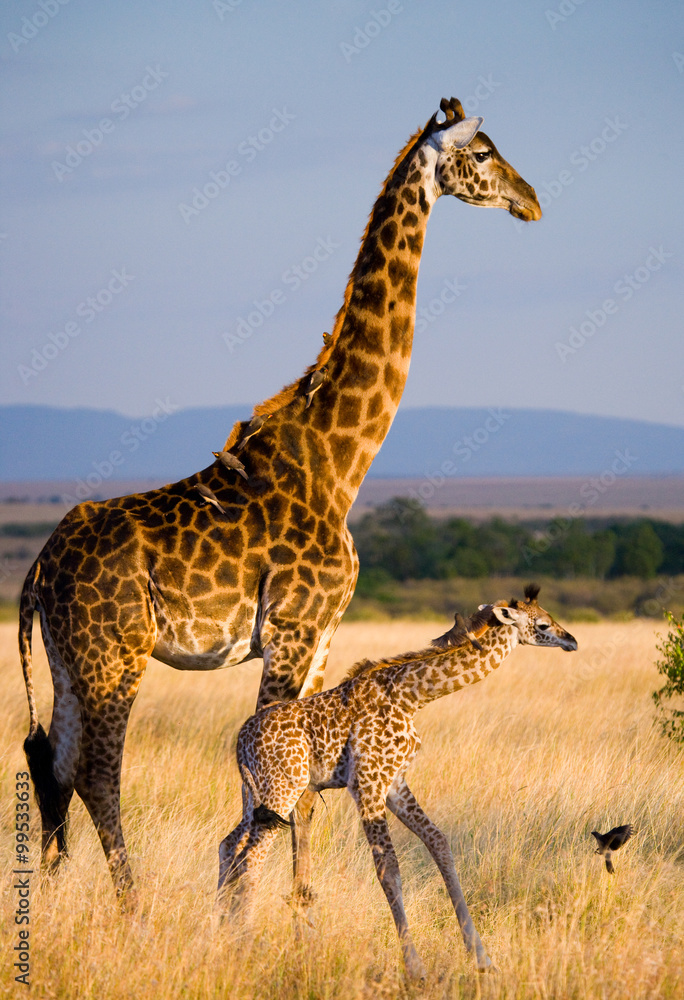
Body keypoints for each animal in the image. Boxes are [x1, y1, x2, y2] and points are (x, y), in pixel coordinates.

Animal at [19, 97, 542, 903]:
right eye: (482, 153)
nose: (532, 201)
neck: (340, 461)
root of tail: (39, 567)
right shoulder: (292, 628)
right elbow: (272, 771)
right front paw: (246, 905)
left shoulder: (323, 634)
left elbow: (306, 788)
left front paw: (300, 907)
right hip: (115, 651)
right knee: (99, 773)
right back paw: (131, 908)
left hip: (68, 657)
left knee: (53, 764)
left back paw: (47, 902)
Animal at [217, 586, 577, 979]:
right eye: (543, 624)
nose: (571, 640)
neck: (411, 697)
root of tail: (240, 739)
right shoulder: (367, 782)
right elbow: (388, 868)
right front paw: (416, 967)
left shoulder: (395, 784)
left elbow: (439, 843)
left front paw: (481, 956)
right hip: (283, 789)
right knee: (251, 859)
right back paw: (245, 947)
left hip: (256, 795)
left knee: (229, 846)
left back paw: (218, 932)